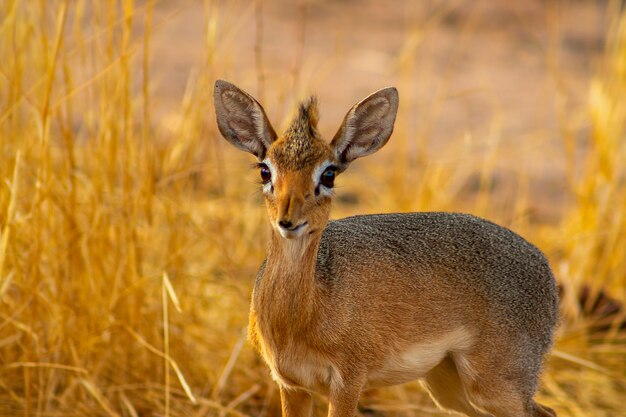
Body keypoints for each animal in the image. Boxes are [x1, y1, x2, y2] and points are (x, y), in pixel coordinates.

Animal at [213, 79, 556, 416]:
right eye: (265, 170)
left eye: (329, 173)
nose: (289, 220)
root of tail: (546, 270)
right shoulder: (291, 384)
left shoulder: (348, 381)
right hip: (447, 383)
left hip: (495, 386)